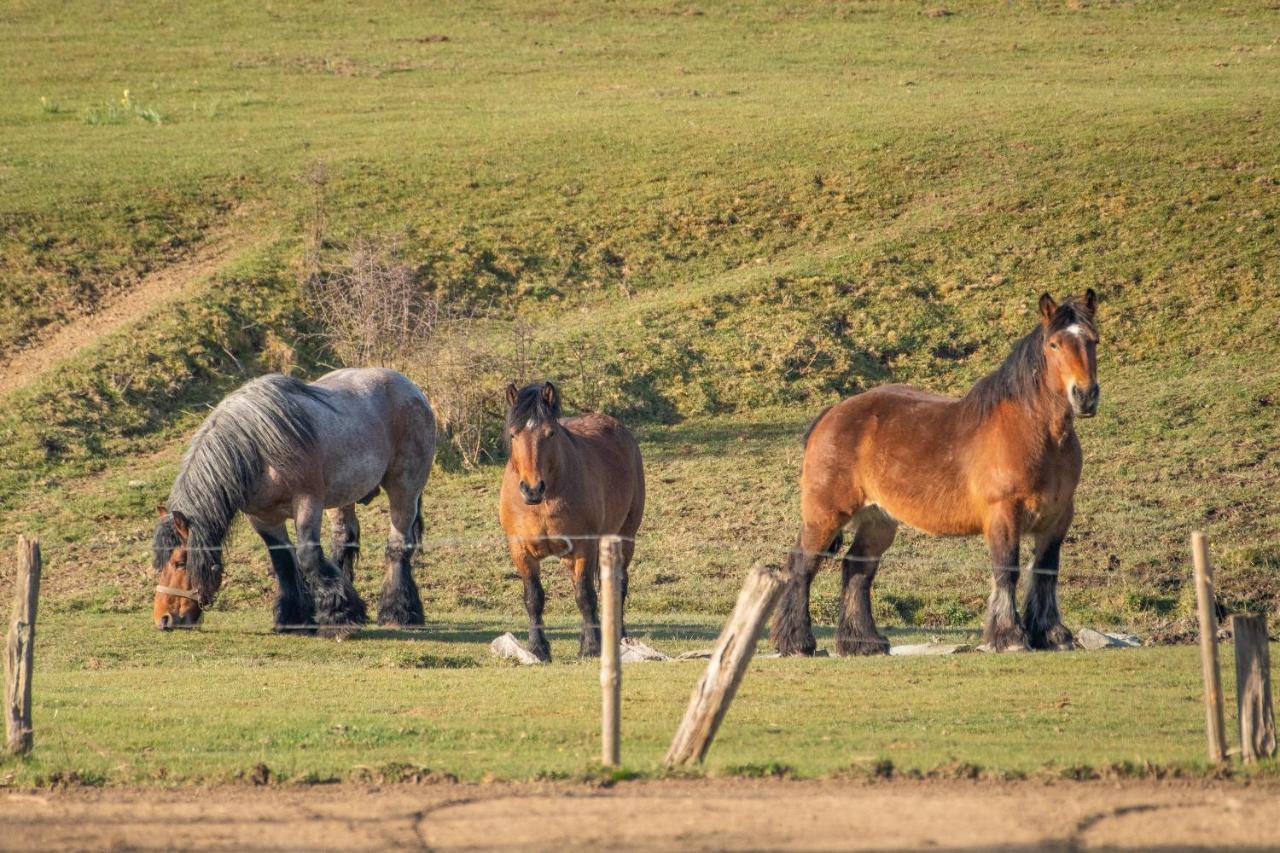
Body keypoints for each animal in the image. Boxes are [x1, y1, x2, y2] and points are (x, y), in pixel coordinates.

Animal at [151, 366, 435, 630]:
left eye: (179, 563)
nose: (164, 618)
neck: (257, 449)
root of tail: (411, 389)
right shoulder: (262, 517)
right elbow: (283, 563)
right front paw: (294, 618)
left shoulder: (308, 503)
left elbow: (307, 556)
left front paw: (337, 614)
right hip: (342, 499)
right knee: (343, 539)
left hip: (404, 489)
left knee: (397, 546)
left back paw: (398, 612)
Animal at [496, 381, 645, 660]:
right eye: (513, 434)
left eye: (550, 433)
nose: (532, 489)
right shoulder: (520, 550)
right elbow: (534, 598)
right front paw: (538, 649)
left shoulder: (584, 547)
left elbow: (585, 595)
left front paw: (590, 648)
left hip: (623, 537)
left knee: (617, 584)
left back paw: (617, 637)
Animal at [768, 289, 1100, 653]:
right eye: (1054, 344)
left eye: (1093, 340)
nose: (1085, 396)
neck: (1032, 432)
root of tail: (831, 414)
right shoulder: (1004, 514)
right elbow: (1006, 570)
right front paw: (1010, 636)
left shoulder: (1057, 518)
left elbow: (1045, 572)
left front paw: (1052, 634)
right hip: (825, 514)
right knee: (803, 565)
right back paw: (797, 641)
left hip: (878, 521)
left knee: (856, 570)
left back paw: (864, 641)